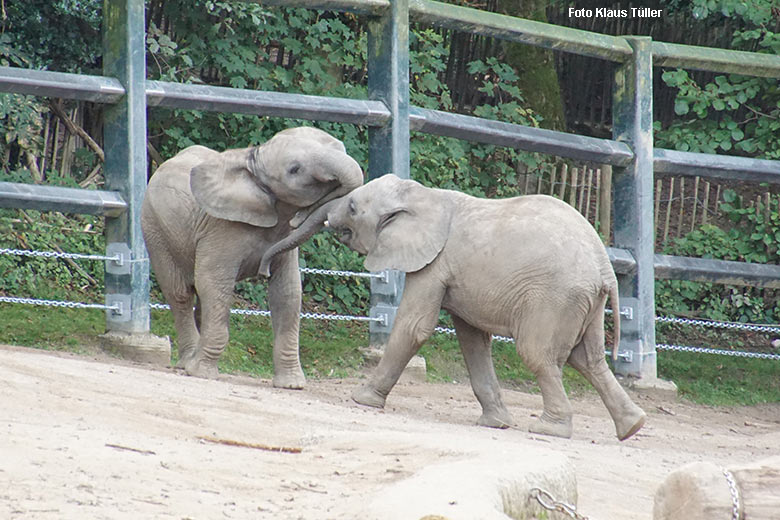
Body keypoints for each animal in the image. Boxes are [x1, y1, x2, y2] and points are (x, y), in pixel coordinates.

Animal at [141, 126, 366, 386]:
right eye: (295, 169)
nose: (263, 269)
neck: (254, 157)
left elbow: (288, 292)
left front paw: (292, 385)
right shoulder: (220, 228)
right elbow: (214, 283)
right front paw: (202, 373)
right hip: (156, 230)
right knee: (180, 294)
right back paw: (188, 363)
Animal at [316, 174, 644, 438]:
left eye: (353, 208)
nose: (328, 217)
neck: (423, 195)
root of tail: (604, 267)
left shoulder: (433, 264)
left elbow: (414, 327)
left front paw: (361, 399)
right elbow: (473, 340)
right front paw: (495, 423)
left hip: (555, 297)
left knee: (538, 354)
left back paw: (548, 429)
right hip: (586, 302)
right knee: (588, 359)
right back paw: (632, 427)